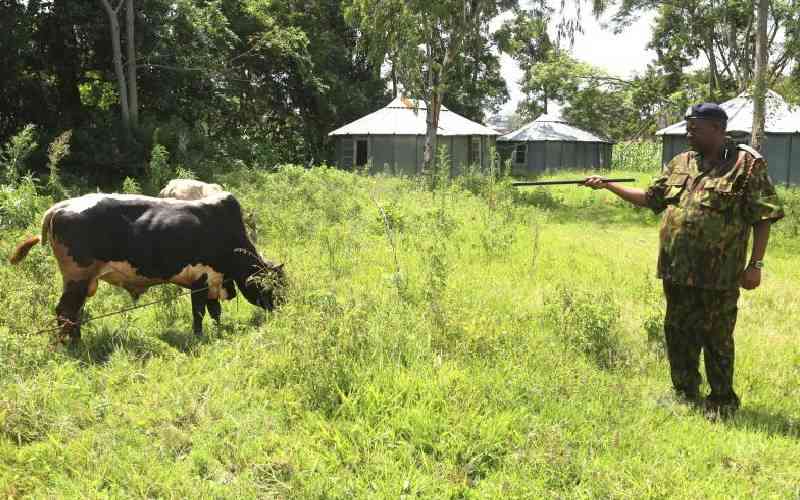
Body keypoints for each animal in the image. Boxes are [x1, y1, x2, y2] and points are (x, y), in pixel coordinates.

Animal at [9, 190, 286, 340]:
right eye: (274, 285)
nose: (283, 309)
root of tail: (60, 206)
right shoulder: (200, 281)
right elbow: (199, 313)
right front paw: (199, 335)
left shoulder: (214, 281)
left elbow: (215, 312)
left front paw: (219, 330)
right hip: (77, 278)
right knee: (65, 311)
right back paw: (72, 343)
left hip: (82, 282)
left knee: (72, 312)